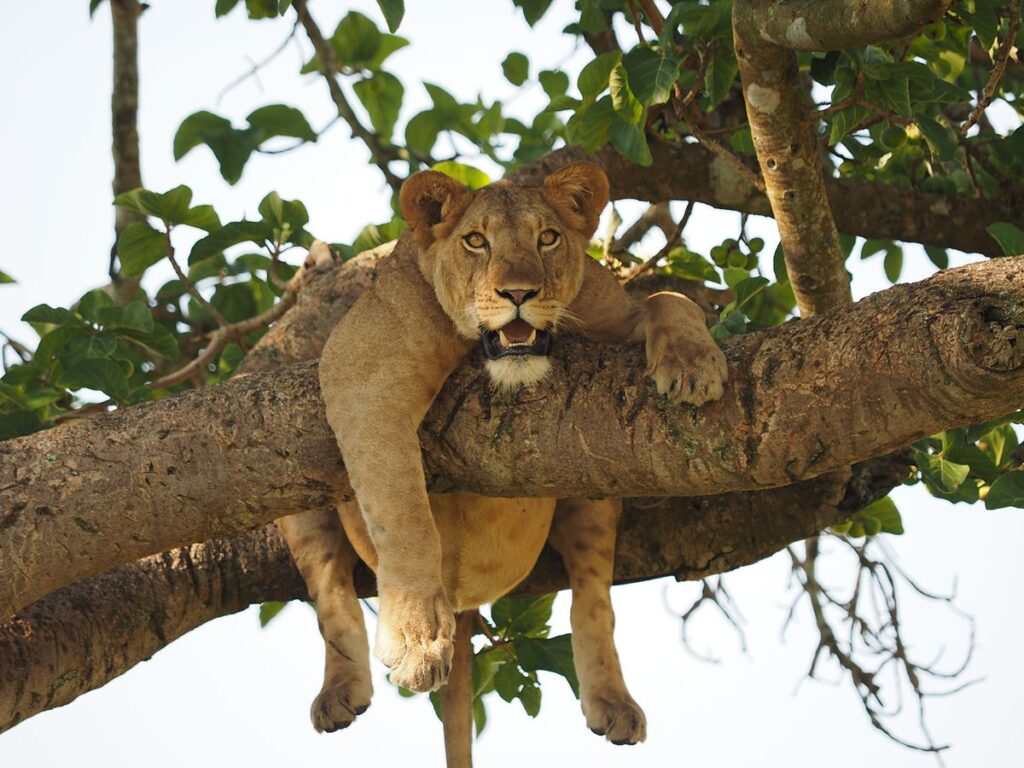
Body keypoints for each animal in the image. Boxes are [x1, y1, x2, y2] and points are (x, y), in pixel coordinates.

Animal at [277, 161, 728, 751]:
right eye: (476, 241)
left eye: (548, 238)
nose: (518, 292)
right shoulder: (360, 370)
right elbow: (404, 515)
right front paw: (418, 640)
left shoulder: (612, 311)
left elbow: (668, 299)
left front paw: (695, 365)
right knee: (330, 590)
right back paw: (339, 692)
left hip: (595, 484)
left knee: (594, 596)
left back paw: (613, 702)